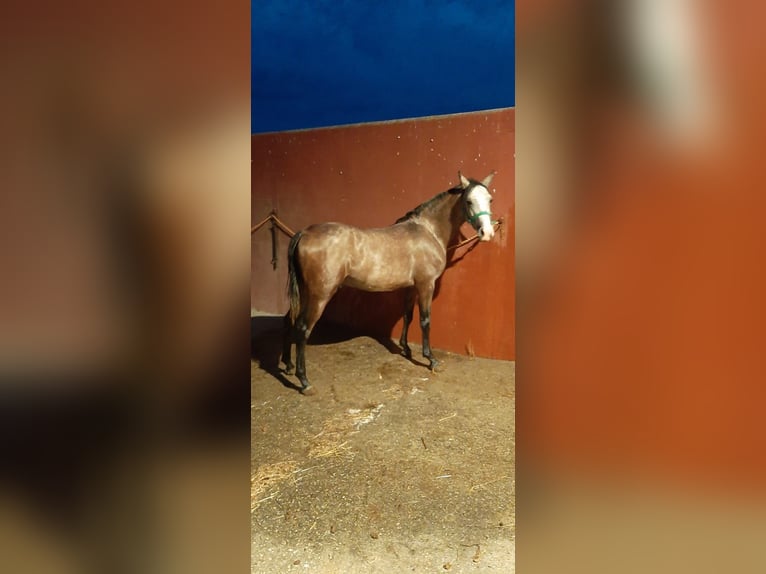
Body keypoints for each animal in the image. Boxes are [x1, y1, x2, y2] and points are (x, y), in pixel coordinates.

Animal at [282, 171, 496, 394]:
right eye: (469, 201)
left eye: (490, 199)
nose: (487, 233)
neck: (428, 231)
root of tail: (304, 233)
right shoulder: (426, 284)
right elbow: (425, 320)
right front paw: (430, 359)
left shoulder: (411, 287)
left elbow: (408, 315)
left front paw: (406, 348)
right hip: (320, 295)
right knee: (303, 328)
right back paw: (304, 380)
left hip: (305, 293)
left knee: (289, 321)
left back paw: (288, 365)